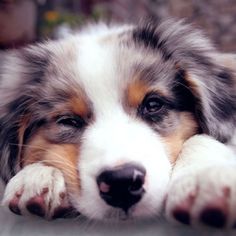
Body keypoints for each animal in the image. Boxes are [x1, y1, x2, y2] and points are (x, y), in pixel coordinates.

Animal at [0, 19, 235, 228]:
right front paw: (37, 176)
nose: (121, 183)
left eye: (153, 104)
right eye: (68, 121)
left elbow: (201, 139)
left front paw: (203, 178)